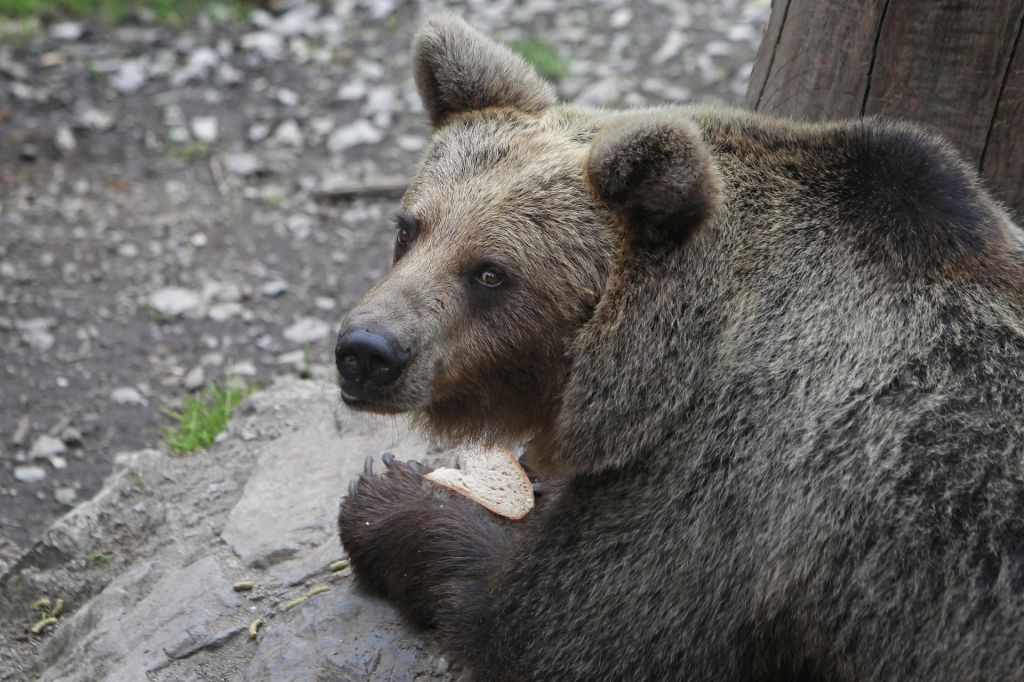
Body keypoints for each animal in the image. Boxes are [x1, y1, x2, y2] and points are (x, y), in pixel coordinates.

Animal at [335, 11, 1024, 679]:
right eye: (410, 229)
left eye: (490, 273)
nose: (367, 351)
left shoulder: (724, 483)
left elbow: (552, 626)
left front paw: (389, 496)